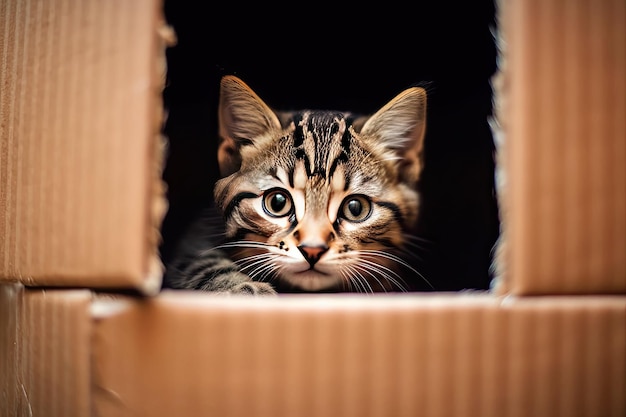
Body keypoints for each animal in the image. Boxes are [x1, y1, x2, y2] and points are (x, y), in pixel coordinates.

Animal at [163, 75, 432, 296]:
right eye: (278, 202)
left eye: (355, 208)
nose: (312, 250)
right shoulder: (197, 235)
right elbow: (202, 261)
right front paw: (239, 287)